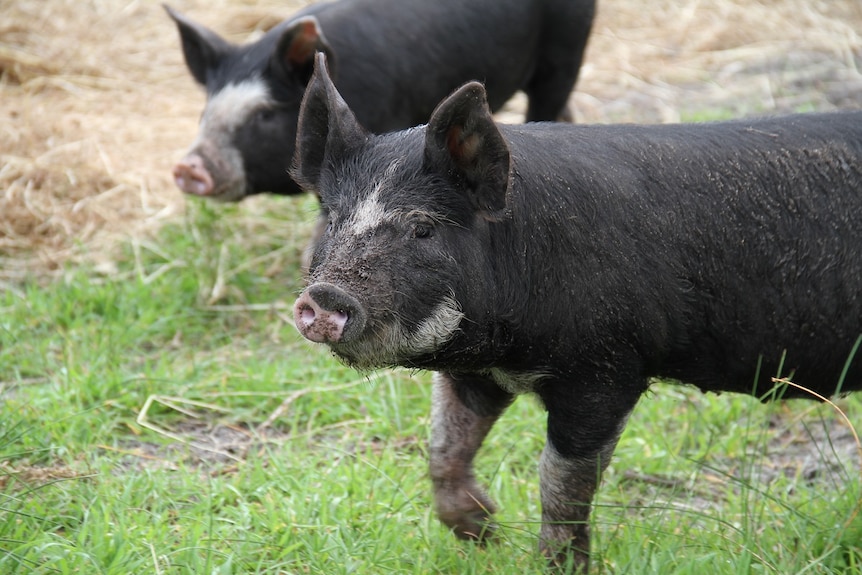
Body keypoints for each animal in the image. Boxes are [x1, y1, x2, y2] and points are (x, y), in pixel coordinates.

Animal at [294, 53, 862, 572]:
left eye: (422, 228)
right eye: (334, 218)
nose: (324, 296)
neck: (509, 349)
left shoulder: (608, 370)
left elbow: (562, 482)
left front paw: (554, 562)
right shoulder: (478, 372)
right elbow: (443, 450)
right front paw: (486, 533)